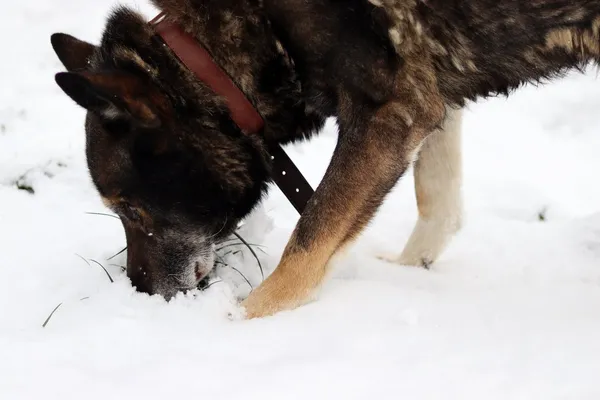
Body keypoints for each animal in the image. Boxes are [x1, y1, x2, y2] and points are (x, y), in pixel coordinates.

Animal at [51, 0, 600, 318]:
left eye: (131, 210)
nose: (139, 294)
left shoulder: (387, 112)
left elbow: (307, 242)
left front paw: (240, 322)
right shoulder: (427, 97)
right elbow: (438, 201)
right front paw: (411, 270)